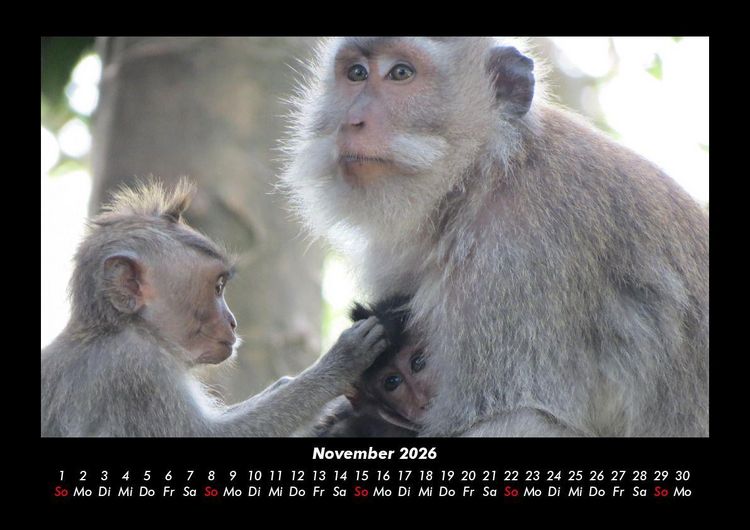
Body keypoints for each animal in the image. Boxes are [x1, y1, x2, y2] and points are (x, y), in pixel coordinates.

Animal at [40, 179, 388, 437]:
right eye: (218, 288)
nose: (232, 322)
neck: (123, 326)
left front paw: (287, 384)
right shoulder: (138, 371)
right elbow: (207, 435)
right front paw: (336, 366)